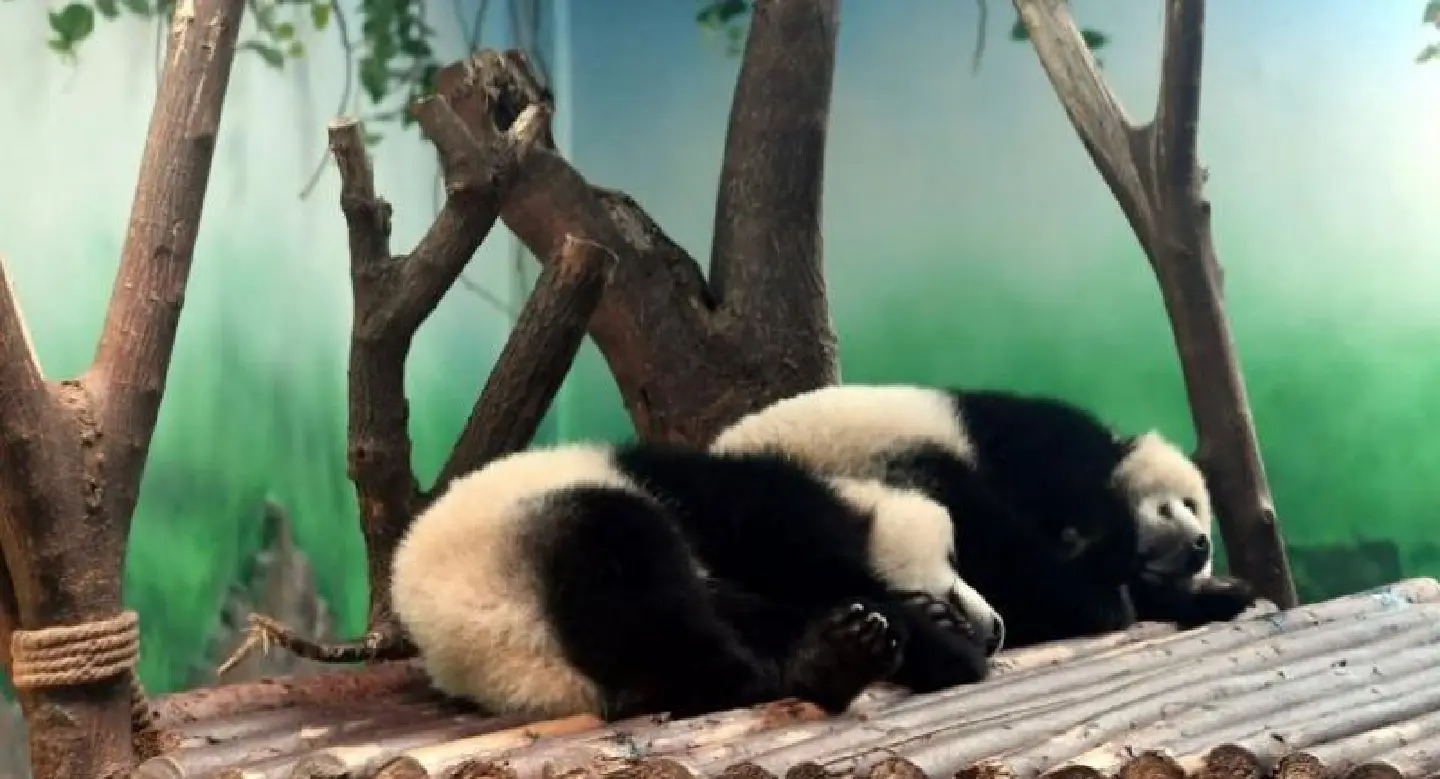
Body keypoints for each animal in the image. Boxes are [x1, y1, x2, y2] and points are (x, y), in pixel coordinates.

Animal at [390, 441, 1003, 723]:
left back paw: (829, 660)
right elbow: (821, 566)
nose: (996, 627)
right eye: (953, 557)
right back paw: (785, 673)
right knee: (647, 597)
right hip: (545, 535)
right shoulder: (746, 506)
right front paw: (949, 647)